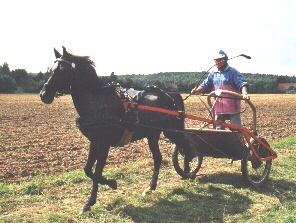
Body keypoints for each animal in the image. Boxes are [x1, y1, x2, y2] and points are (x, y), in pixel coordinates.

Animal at [40, 46, 192, 213]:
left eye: (62, 70)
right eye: (50, 69)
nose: (44, 94)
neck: (97, 103)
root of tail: (171, 94)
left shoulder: (104, 143)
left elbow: (97, 170)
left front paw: (90, 201)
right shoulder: (94, 141)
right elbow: (88, 169)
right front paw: (111, 183)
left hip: (171, 130)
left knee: (186, 146)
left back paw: (188, 171)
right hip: (153, 134)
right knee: (158, 157)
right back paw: (151, 187)